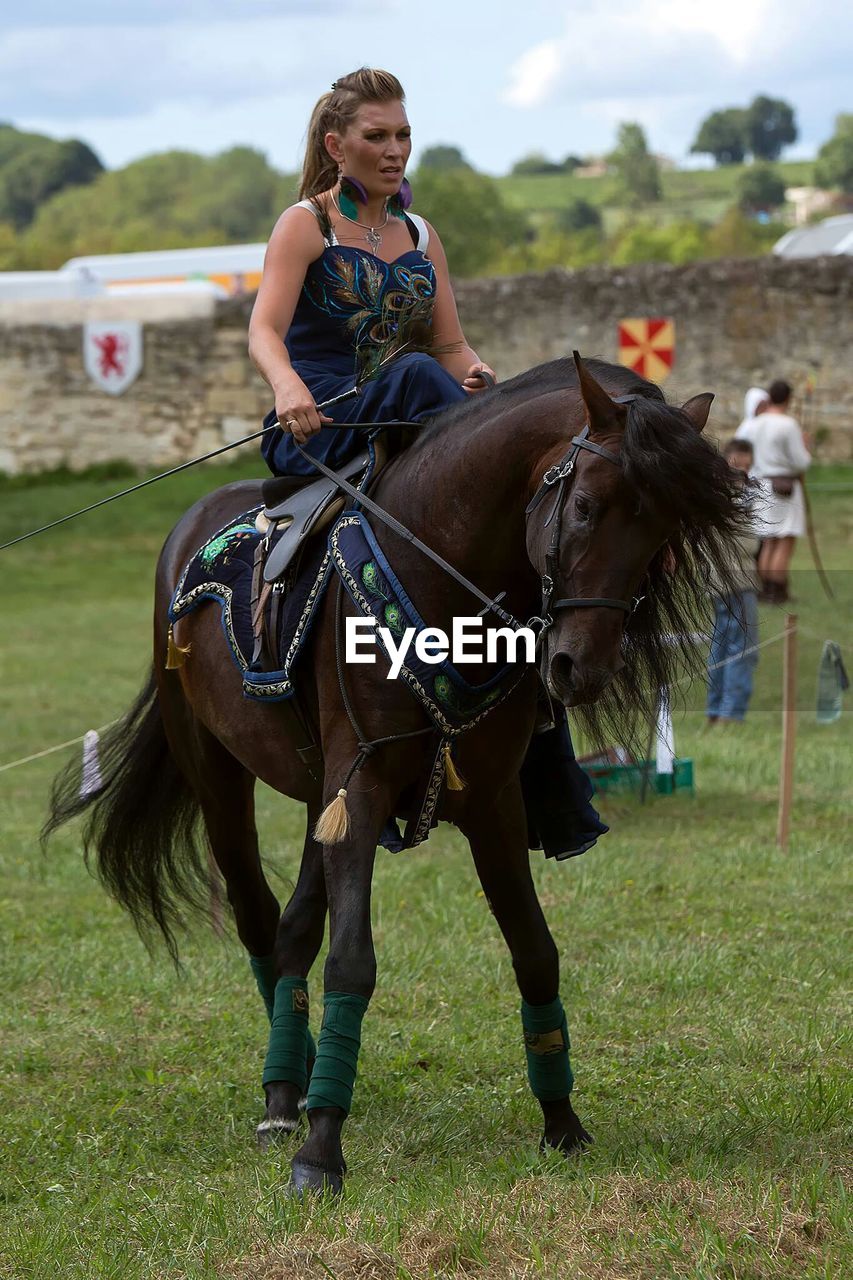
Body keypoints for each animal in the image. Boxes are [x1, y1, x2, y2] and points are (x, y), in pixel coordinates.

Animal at [46, 353, 742, 1187]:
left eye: (663, 531)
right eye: (584, 506)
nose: (581, 668)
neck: (438, 573)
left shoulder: (487, 802)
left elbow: (534, 952)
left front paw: (561, 1122)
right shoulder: (364, 786)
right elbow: (352, 962)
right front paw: (321, 1151)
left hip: (319, 792)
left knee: (293, 929)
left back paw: (300, 1076)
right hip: (219, 774)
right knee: (258, 918)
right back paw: (286, 1097)